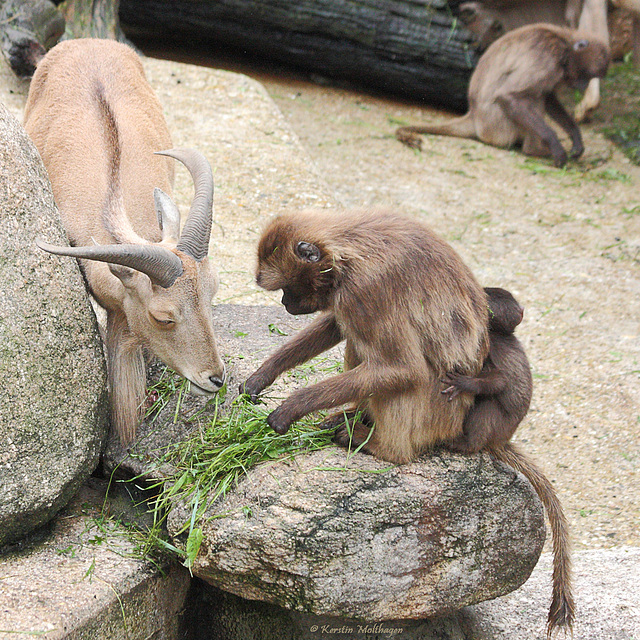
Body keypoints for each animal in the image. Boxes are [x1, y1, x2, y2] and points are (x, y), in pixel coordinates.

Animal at [238, 209, 488, 464]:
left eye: (286, 288)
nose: (284, 302)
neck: (347, 251)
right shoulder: (346, 294)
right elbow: (336, 324)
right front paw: (262, 376)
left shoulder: (366, 288)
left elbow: (404, 368)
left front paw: (292, 407)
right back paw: (356, 414)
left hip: (438, 412)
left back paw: (384, 447)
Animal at [396, 23, 608, 166]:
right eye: (586, 76)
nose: (583, 86)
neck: (563, 43)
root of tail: (474, 115)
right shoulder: (547, 57)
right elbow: (510, 96)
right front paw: (555, 146)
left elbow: (548, 97)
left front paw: (576, 137)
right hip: (497, 126)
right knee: (530, 98)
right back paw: (534, 149)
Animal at [440, 288, 536, 452]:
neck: (502, 335)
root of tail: (502, 441)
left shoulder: (490, 346)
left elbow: (500, 381)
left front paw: (464, 384)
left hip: (500, 427)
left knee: (489, 405)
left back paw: (467, 443)